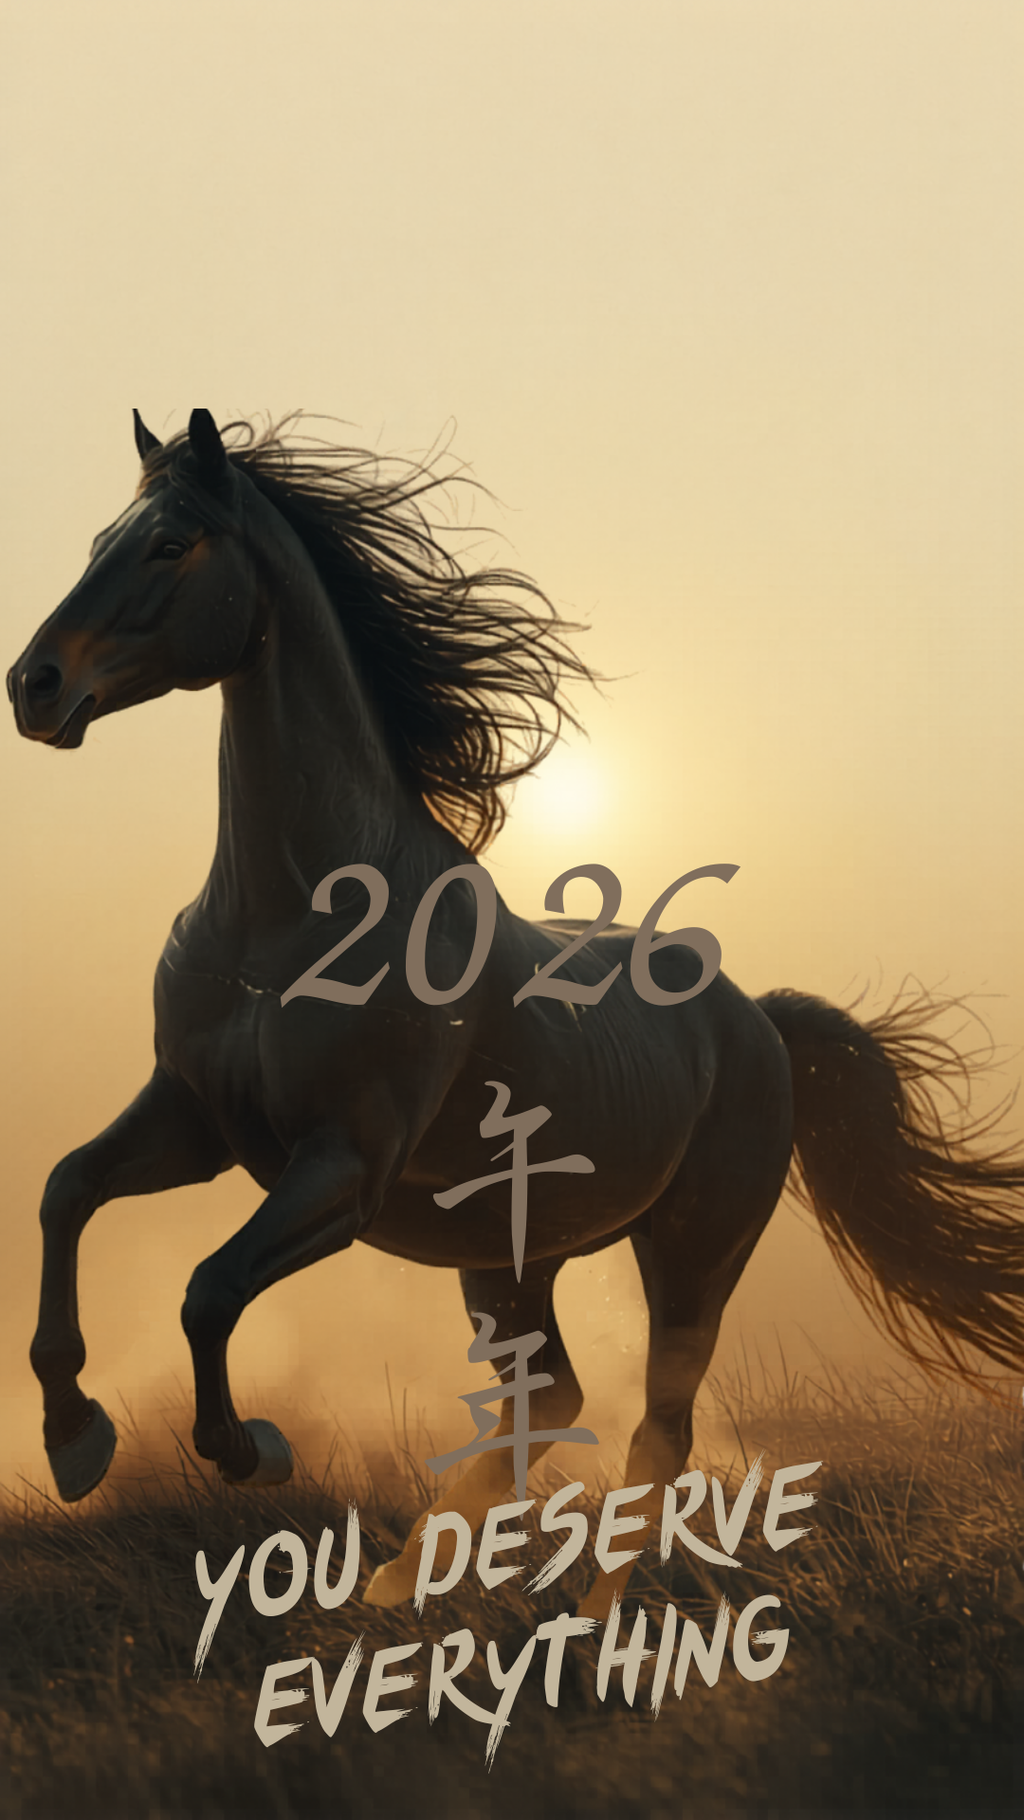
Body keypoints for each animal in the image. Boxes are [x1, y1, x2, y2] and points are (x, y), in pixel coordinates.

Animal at [9, 409, 1024, 1619]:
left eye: (170, 545)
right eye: (99, 540)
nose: (33, 685)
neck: (290, 917)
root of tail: (761, 1020)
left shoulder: (341, 1167)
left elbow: (209, 1290)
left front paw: (249, 1447)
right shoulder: (195, 1123)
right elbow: (68, 1190)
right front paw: (75, 1437)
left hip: (692, 1251)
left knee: (656, 1426)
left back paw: (581, 1618)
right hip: (505, 1258)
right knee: (551, 1394)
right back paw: (402, 1577)